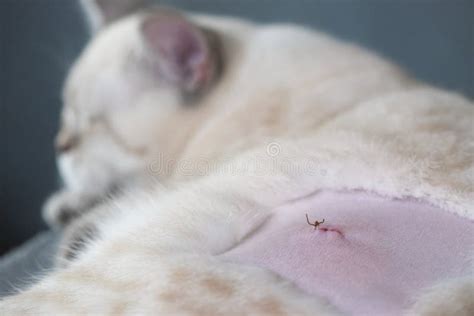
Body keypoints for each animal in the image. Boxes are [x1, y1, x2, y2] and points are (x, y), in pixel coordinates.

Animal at [1, 0, 472, 314]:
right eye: (65, 119)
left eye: (85, 128)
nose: (59, 144)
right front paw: (62, 204)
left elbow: (95, 213)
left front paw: (69, 216)